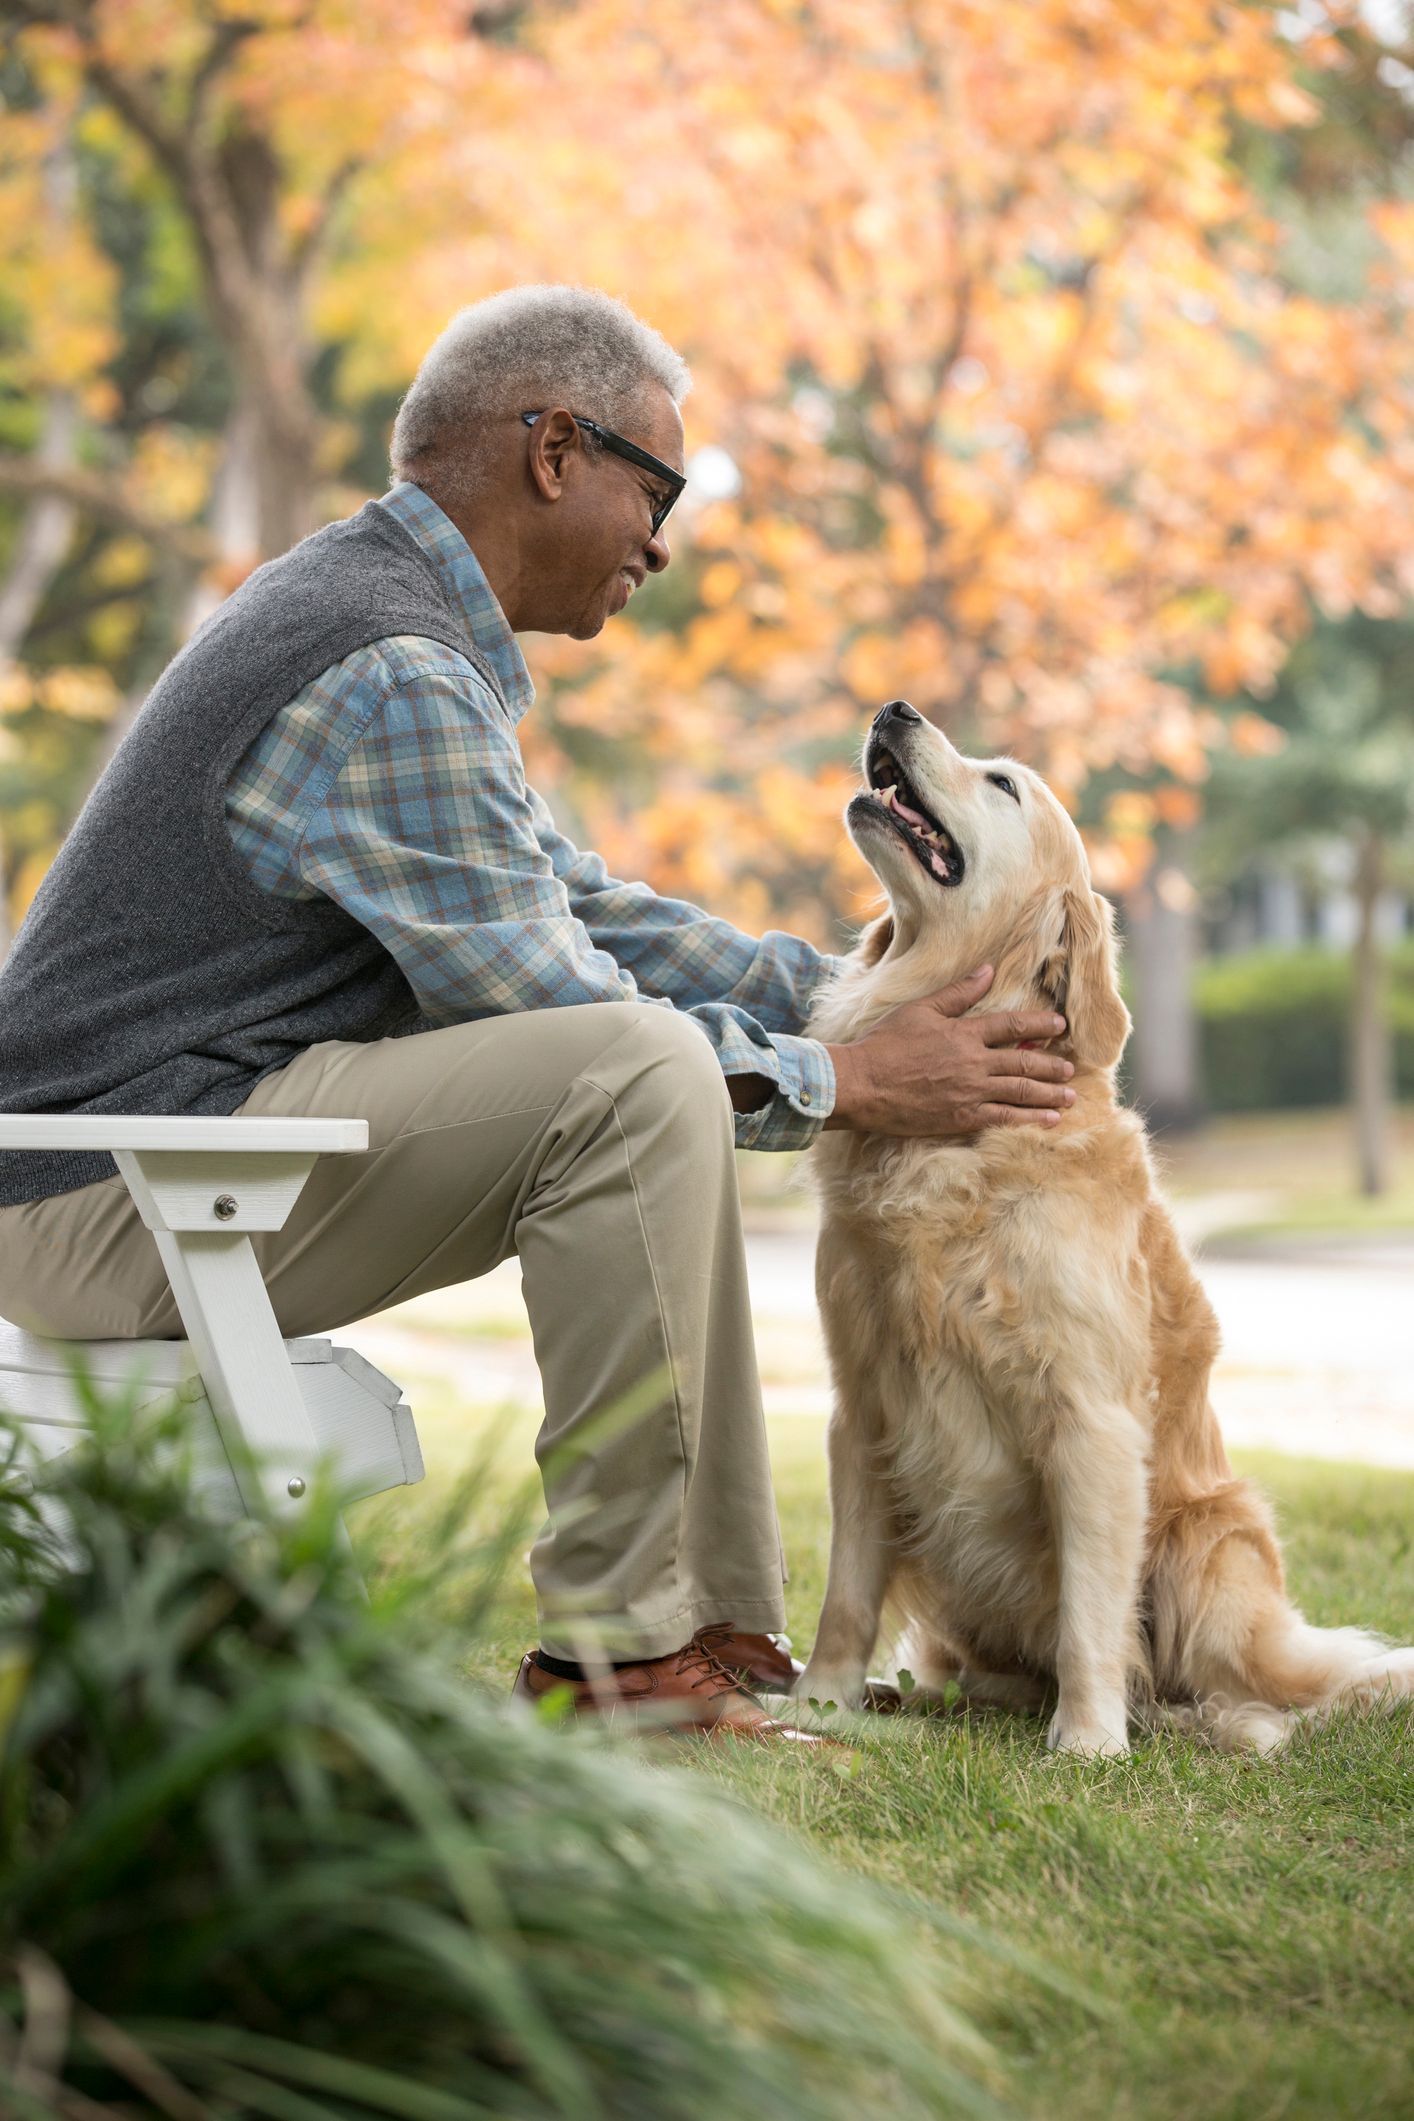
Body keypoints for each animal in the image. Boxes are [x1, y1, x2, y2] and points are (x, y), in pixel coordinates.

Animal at [801, 704, 1407, 1747]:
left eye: (1002, 782)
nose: (895, 710)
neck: (959, 1144)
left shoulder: (1087, 1417)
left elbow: (1091, 1608)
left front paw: (1087, 1741)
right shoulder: (862, 1405)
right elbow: (846, 1591)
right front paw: (813, 1702)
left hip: (1208, 1544)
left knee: (1251, 1688)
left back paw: (1220, 1723)